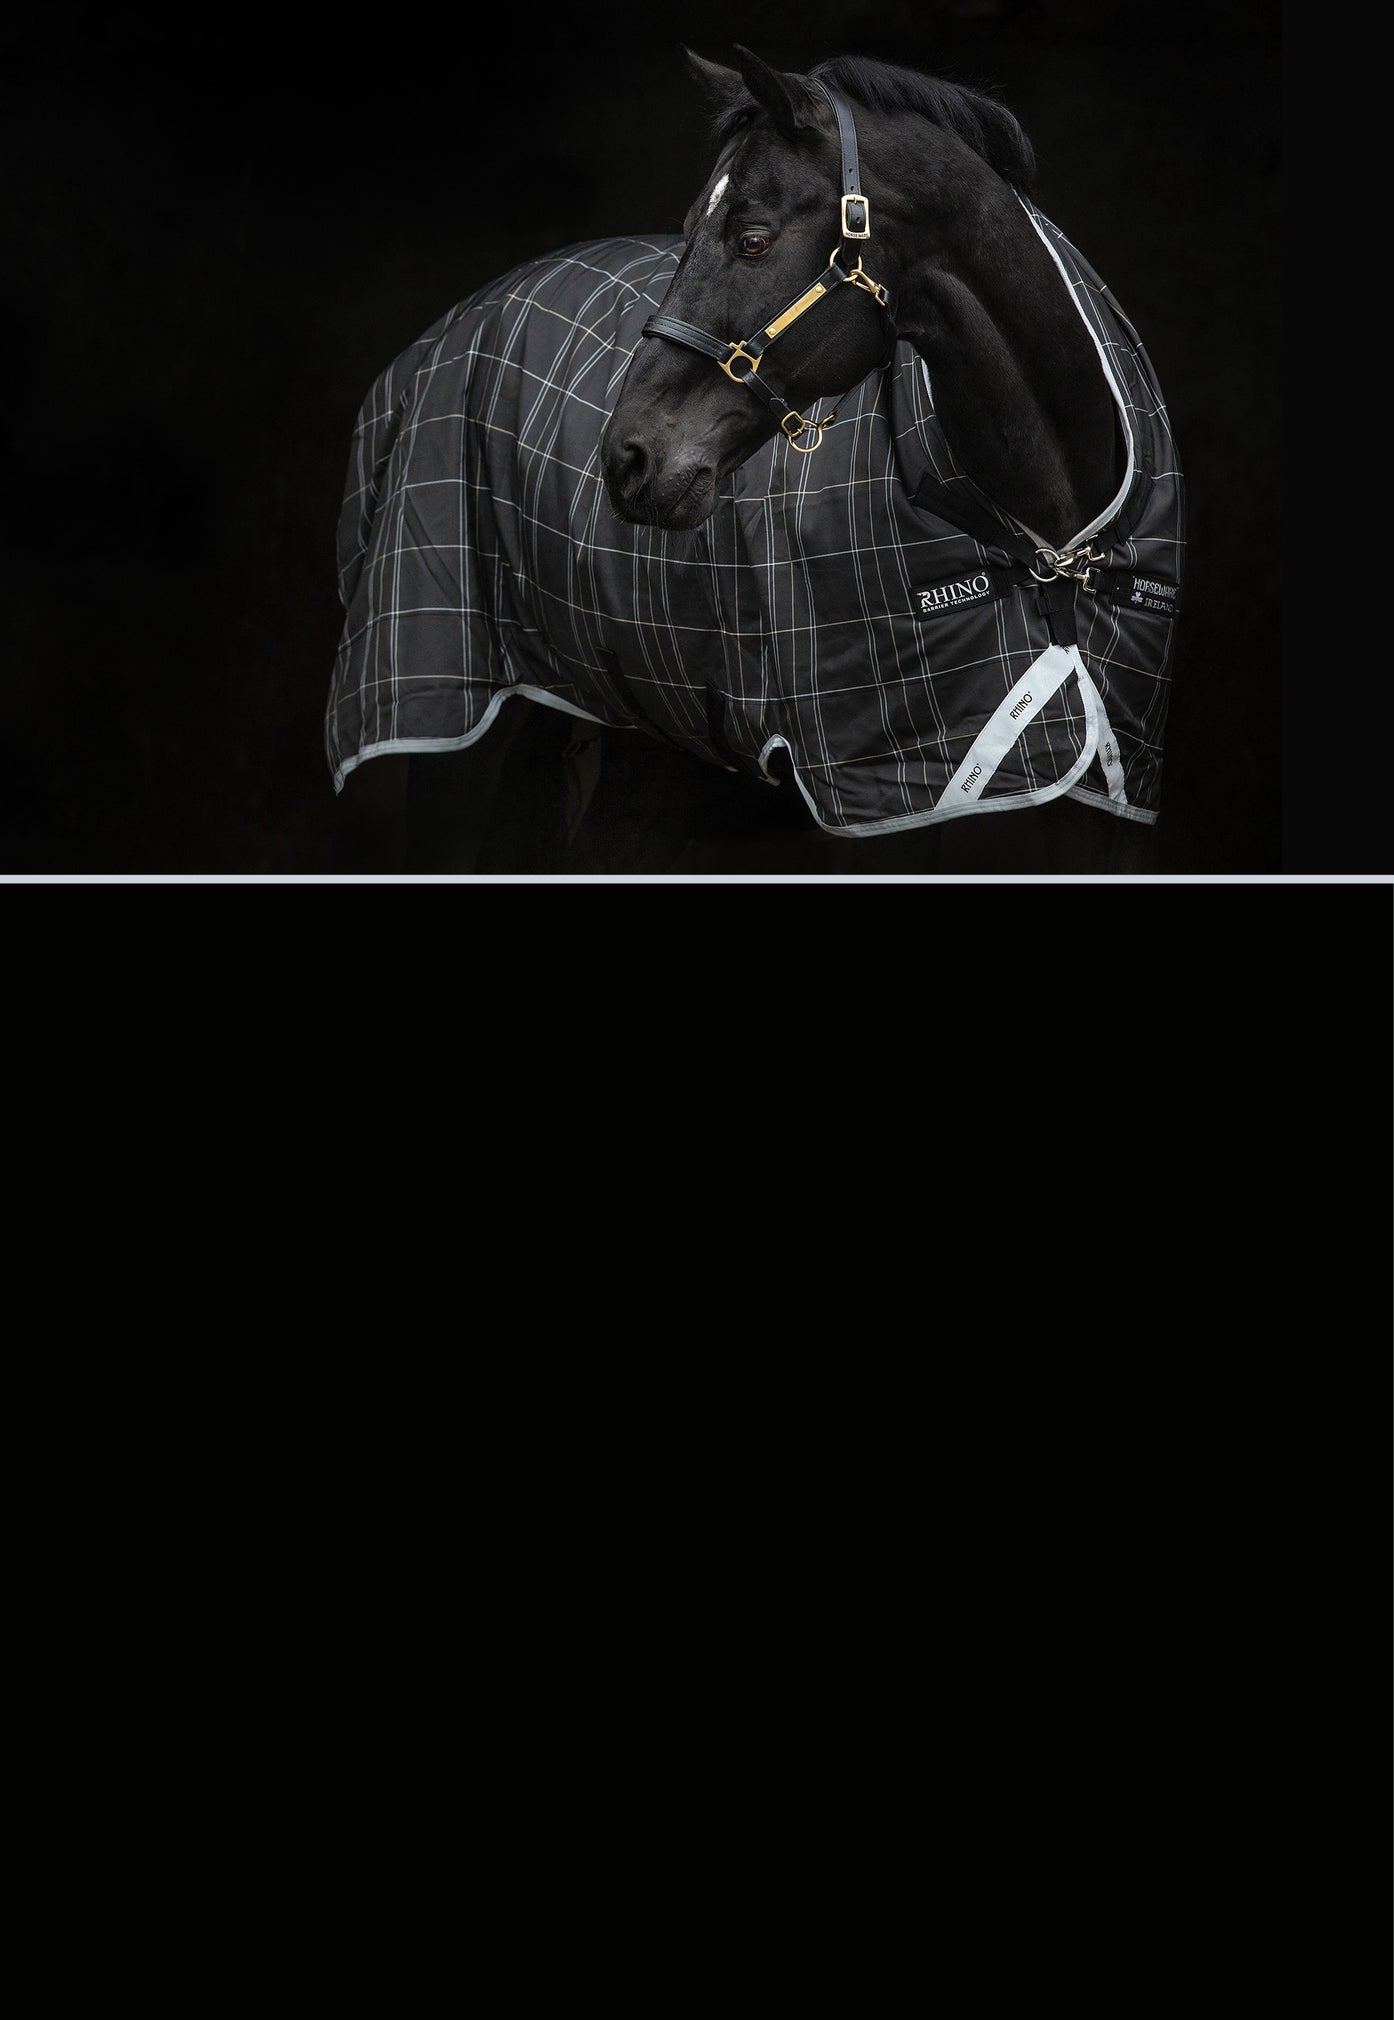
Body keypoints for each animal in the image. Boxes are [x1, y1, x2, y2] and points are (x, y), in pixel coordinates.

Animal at [327, 46, 1184, 875]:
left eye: (751, 239)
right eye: (688, 231)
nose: (629, 458)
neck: (1047, 548)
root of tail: (439, 337)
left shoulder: (1107, 801)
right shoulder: (883, 794)